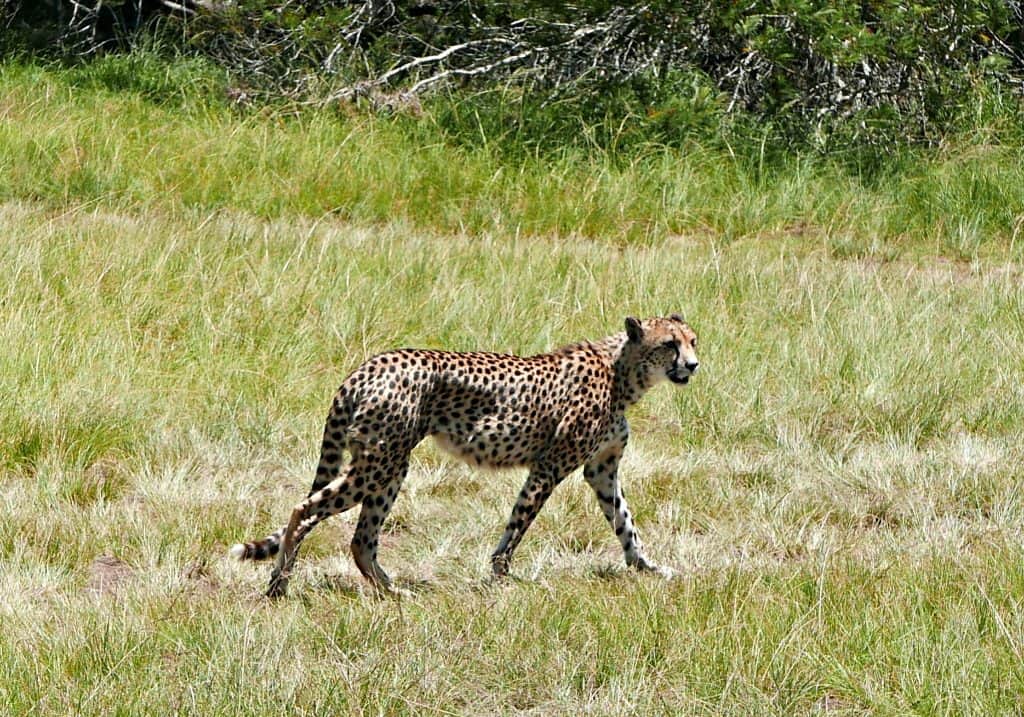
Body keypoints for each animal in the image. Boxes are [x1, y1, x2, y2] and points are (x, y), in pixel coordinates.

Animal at [230, 314, 699, 597]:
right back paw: (279, 586)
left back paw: (392, 592)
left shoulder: (601, 470)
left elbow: (626, 524)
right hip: (380, 461)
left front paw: (648, 568)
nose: (693, 365)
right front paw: (501, 577)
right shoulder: (549, 466)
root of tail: (370, 363)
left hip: (389, 464)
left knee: (360, 539)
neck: (622, 372)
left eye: (693, 341)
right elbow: (518, 524)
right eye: (668, 345)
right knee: (304, 508)